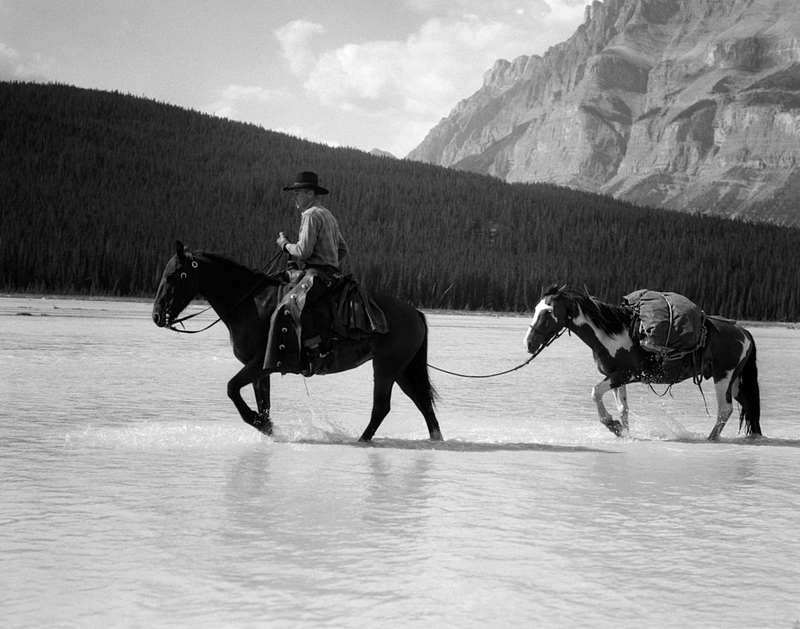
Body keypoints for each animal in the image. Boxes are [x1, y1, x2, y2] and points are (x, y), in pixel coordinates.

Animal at [153, 240, 440, 442]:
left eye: (172, 275)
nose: (157, 315)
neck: (250, 304)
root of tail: (415, 313)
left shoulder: (259, 363)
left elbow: (231, 388)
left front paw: (260, 424)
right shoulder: (261, 369)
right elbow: (263, 403)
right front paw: (267, 426)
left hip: (386, 368)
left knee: (382, 407)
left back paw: (361, 440)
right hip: (402, 370)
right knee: (423, 404)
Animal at [524, 286, 764, 440]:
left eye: (548, 311)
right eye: (535, 309)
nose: (529, 343)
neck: (613, 334)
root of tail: (742, 331)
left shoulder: (625, 375)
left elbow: (595, 392)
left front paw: (612, 425)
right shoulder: (615, 377)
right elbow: (623, 408)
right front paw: (624, 432)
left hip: (723, 377)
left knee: (725, 410)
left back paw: (710, 438)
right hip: (735, 382)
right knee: (749, 407)